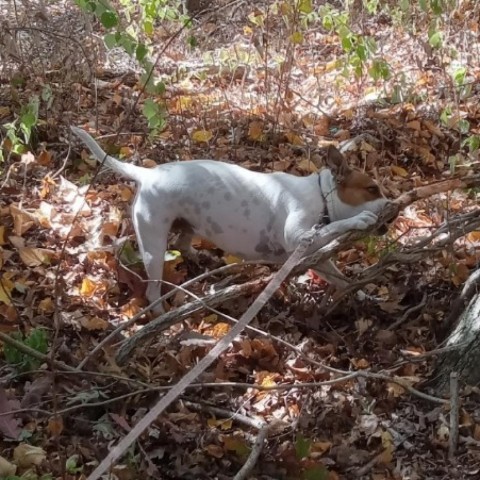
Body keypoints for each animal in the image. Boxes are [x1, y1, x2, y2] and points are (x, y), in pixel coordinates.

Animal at [72, 125, 394, 312]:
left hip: (188, 224)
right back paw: (162, 316)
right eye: (372, 188)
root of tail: (148, 174)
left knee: (183, 242)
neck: (320, 195)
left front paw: (364, 296)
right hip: (153, 247)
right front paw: (359, 220)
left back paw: (201, 259)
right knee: (152, 291)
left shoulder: (315, 256)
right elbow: (338, 227)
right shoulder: (300, 238)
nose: (392, 207)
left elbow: (341, 279)